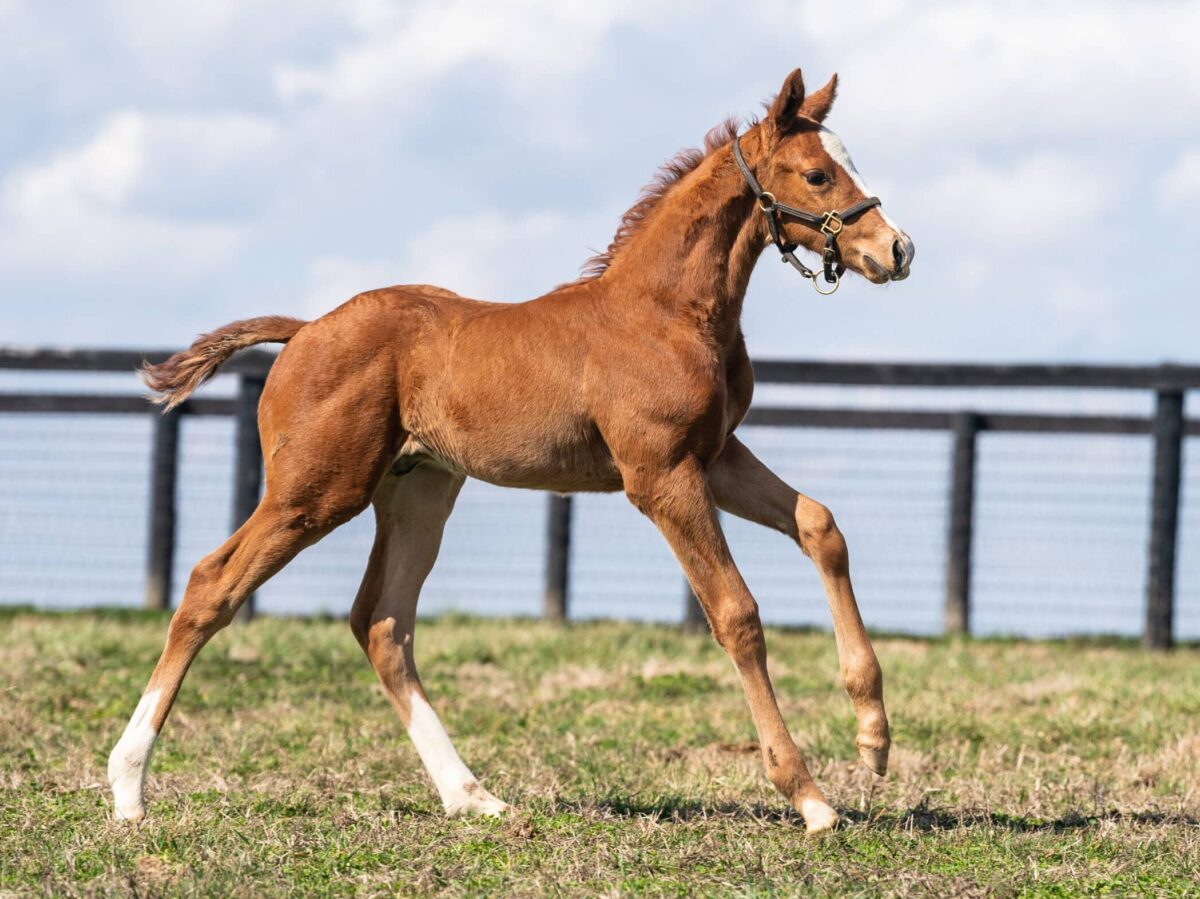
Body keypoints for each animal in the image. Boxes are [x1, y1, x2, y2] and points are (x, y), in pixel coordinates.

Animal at [114, 70, 916, 835]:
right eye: (817, 174)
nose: (896, 249)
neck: (665, 313)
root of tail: (305, 328)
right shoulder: (660, 474)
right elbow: (737, 613)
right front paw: (809, 797)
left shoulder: (714, 455)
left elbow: (820, 523)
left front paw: (873, 738)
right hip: (315, 491)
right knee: (212, 584)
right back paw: (127, 789)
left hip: (417, 492)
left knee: (382, 622)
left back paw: (473, 796)